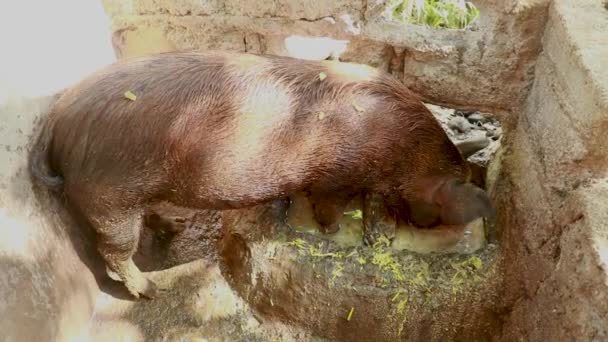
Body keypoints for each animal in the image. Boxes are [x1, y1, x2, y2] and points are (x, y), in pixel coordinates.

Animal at [28, 50, 494, 300]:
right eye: (441, 205)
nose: (481, 205)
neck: (401, 153)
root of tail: (55, 118)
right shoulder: (334, 178)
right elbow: (329, 205)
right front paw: (331, 231)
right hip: (108, 195)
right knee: (113, 250)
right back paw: (152, 291)